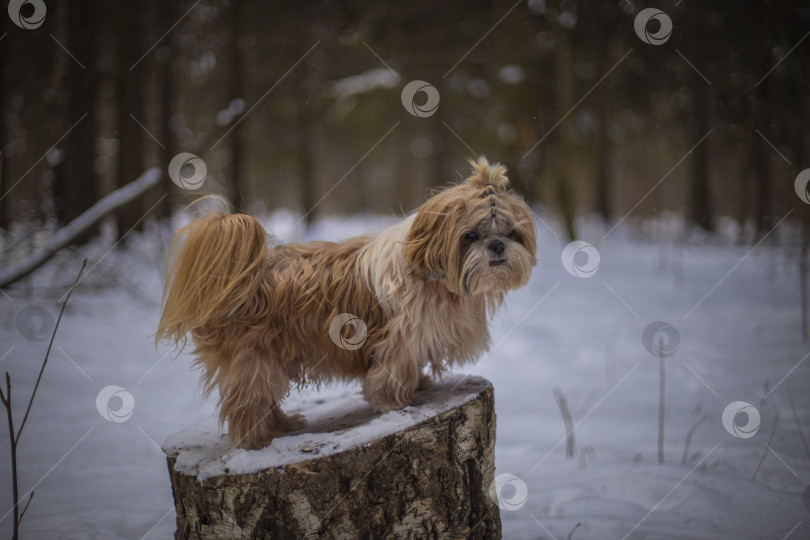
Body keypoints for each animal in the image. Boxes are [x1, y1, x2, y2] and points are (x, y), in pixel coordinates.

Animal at [158, 157, 536, 452]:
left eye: (512, 233)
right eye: (470, 235)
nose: (497, 245)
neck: (435, 277)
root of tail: (240, 276)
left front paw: (420, 384)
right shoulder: (400, 337)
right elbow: (392, 371)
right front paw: (395, 402)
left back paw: (283, 426)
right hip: (254, 359)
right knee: (246, 408)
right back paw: (260, 441)